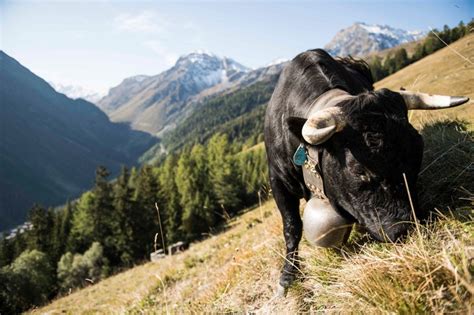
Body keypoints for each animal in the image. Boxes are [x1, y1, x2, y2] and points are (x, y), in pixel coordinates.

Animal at [264, 48, 468, 292]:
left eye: (416, 159)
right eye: (359, 170)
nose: (405, 228)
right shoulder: (278, 181)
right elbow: (292, 226)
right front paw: (287, 276)